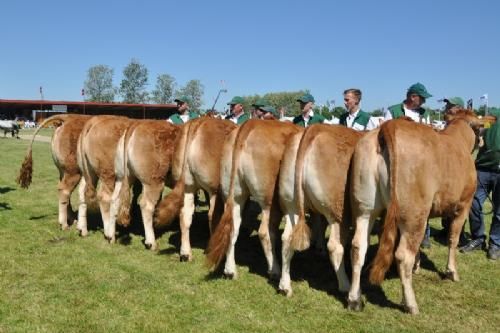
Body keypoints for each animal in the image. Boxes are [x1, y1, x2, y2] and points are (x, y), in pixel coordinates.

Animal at [106, 119, 181, 249]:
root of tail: (137, 123)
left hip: (122, 177)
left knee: (115, 200)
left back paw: (111, 237)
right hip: (153, 181)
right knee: (146, 205)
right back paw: (151, 242)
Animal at [153, 116, 237, 260]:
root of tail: (198, 121)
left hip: (188, 185)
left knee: (185, 214)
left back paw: (186, 253)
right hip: (213, 188)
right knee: (212, 215)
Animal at [206, 120, 302, 278]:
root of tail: (250, 124)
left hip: (235, 195)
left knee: (233, 226)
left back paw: (230, 271)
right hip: (270, 201)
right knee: (265, 232)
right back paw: (274, 270)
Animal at [278, 124, 364, 296]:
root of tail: (314, 128)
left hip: (292, 206)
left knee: (287, 239)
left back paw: (285, 286)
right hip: (338, 212)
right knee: (336, 247)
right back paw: (345, 286)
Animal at [348, 109, 480, 314]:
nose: (482, 143)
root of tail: (389, 125)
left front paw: (418, 266)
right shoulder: (463, 205)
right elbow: (453, 239)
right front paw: (452, 272)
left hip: (366, 208)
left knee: (358, 246)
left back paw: (354, 300)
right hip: (414, 211)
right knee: (403, 255)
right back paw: (411, 304)